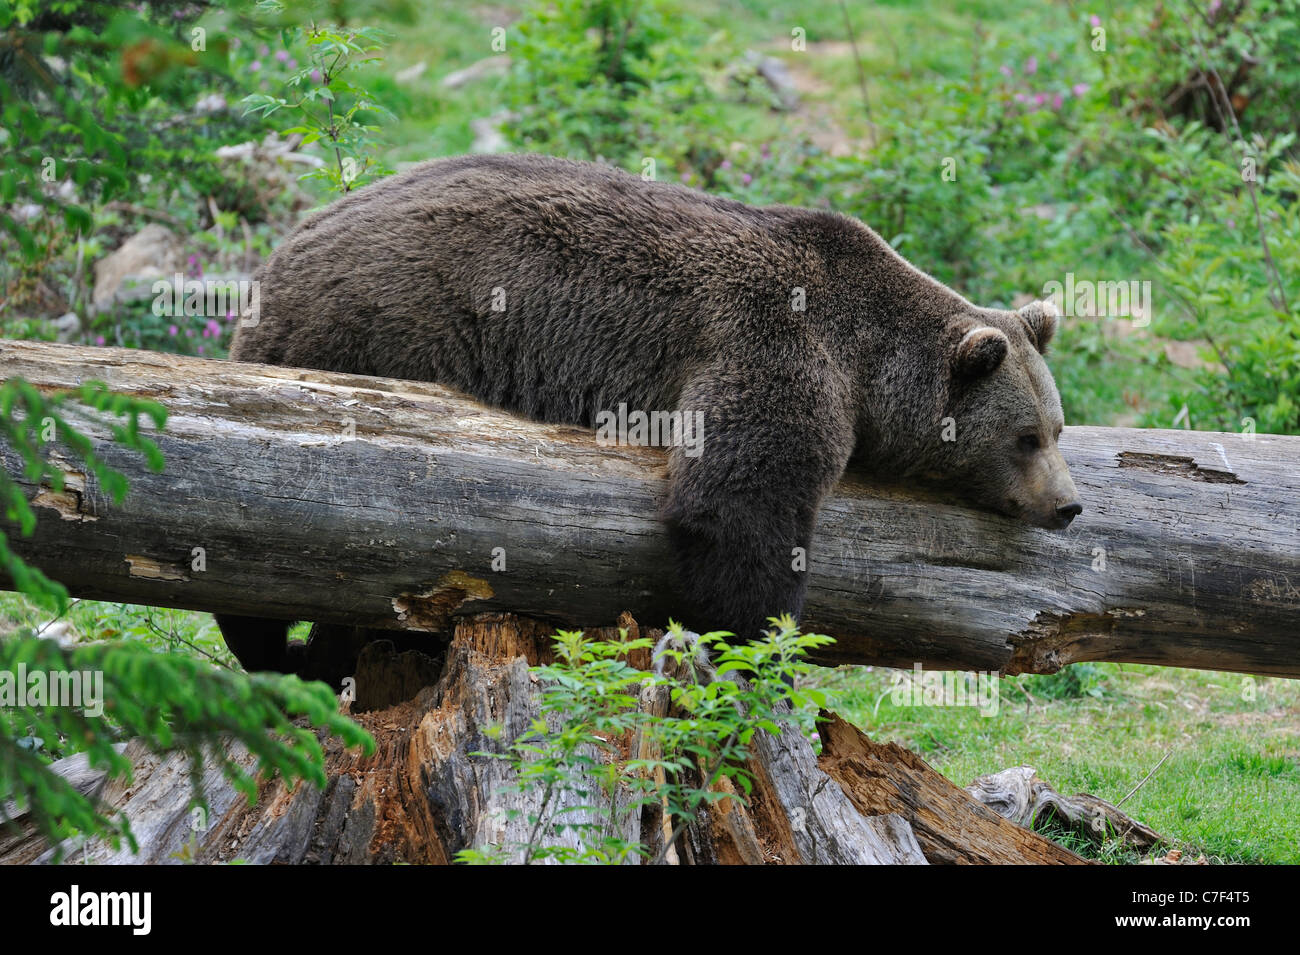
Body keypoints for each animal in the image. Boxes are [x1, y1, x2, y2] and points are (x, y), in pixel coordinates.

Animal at [218, 153, 1081, 680]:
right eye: (1025, 437)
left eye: (1057, 428)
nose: (1068, 505)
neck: (870, 359)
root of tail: (274, 269)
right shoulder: (772, 343)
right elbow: (736, 504)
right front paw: (757, 639)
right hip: (384, 330)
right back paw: (293, 650)